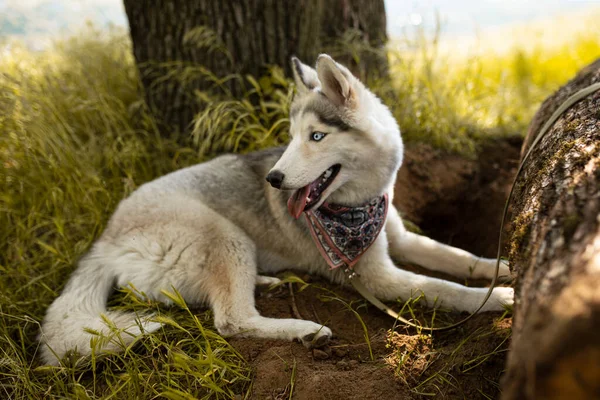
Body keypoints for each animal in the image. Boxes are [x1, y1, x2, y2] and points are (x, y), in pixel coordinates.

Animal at [39, 55, 512, 366]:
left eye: (316, 137)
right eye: (291, 136)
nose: (274, 179)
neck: (358, 204)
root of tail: (104, 239)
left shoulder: (398, 237)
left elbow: (458, 258)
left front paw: (502, 268)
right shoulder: (377, 277)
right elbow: (445, 288)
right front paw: (498, 299)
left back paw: (265, 283)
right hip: (225, 234)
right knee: (231, 321)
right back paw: (304, 330)